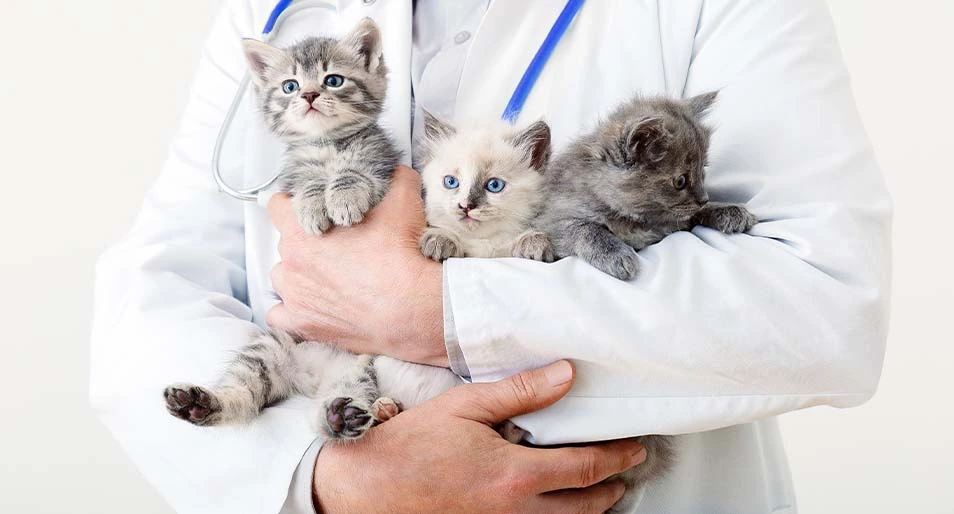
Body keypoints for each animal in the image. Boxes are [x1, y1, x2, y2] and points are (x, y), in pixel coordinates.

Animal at [244, 18, 400, 233]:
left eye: (333, 80)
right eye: (290, 86)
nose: (309, 95)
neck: (327, 144)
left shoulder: (380, 162)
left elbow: (354, 173)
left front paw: (345, 197)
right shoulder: (295, 174)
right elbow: (308, 182)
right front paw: (311, 203)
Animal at [540, 91, 756, 280]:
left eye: (702, 171)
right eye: (680, 181)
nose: (704, 198)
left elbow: (691, 214)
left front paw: (728, 210)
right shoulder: (552, 221)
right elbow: (586, 229)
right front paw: (616, 255)